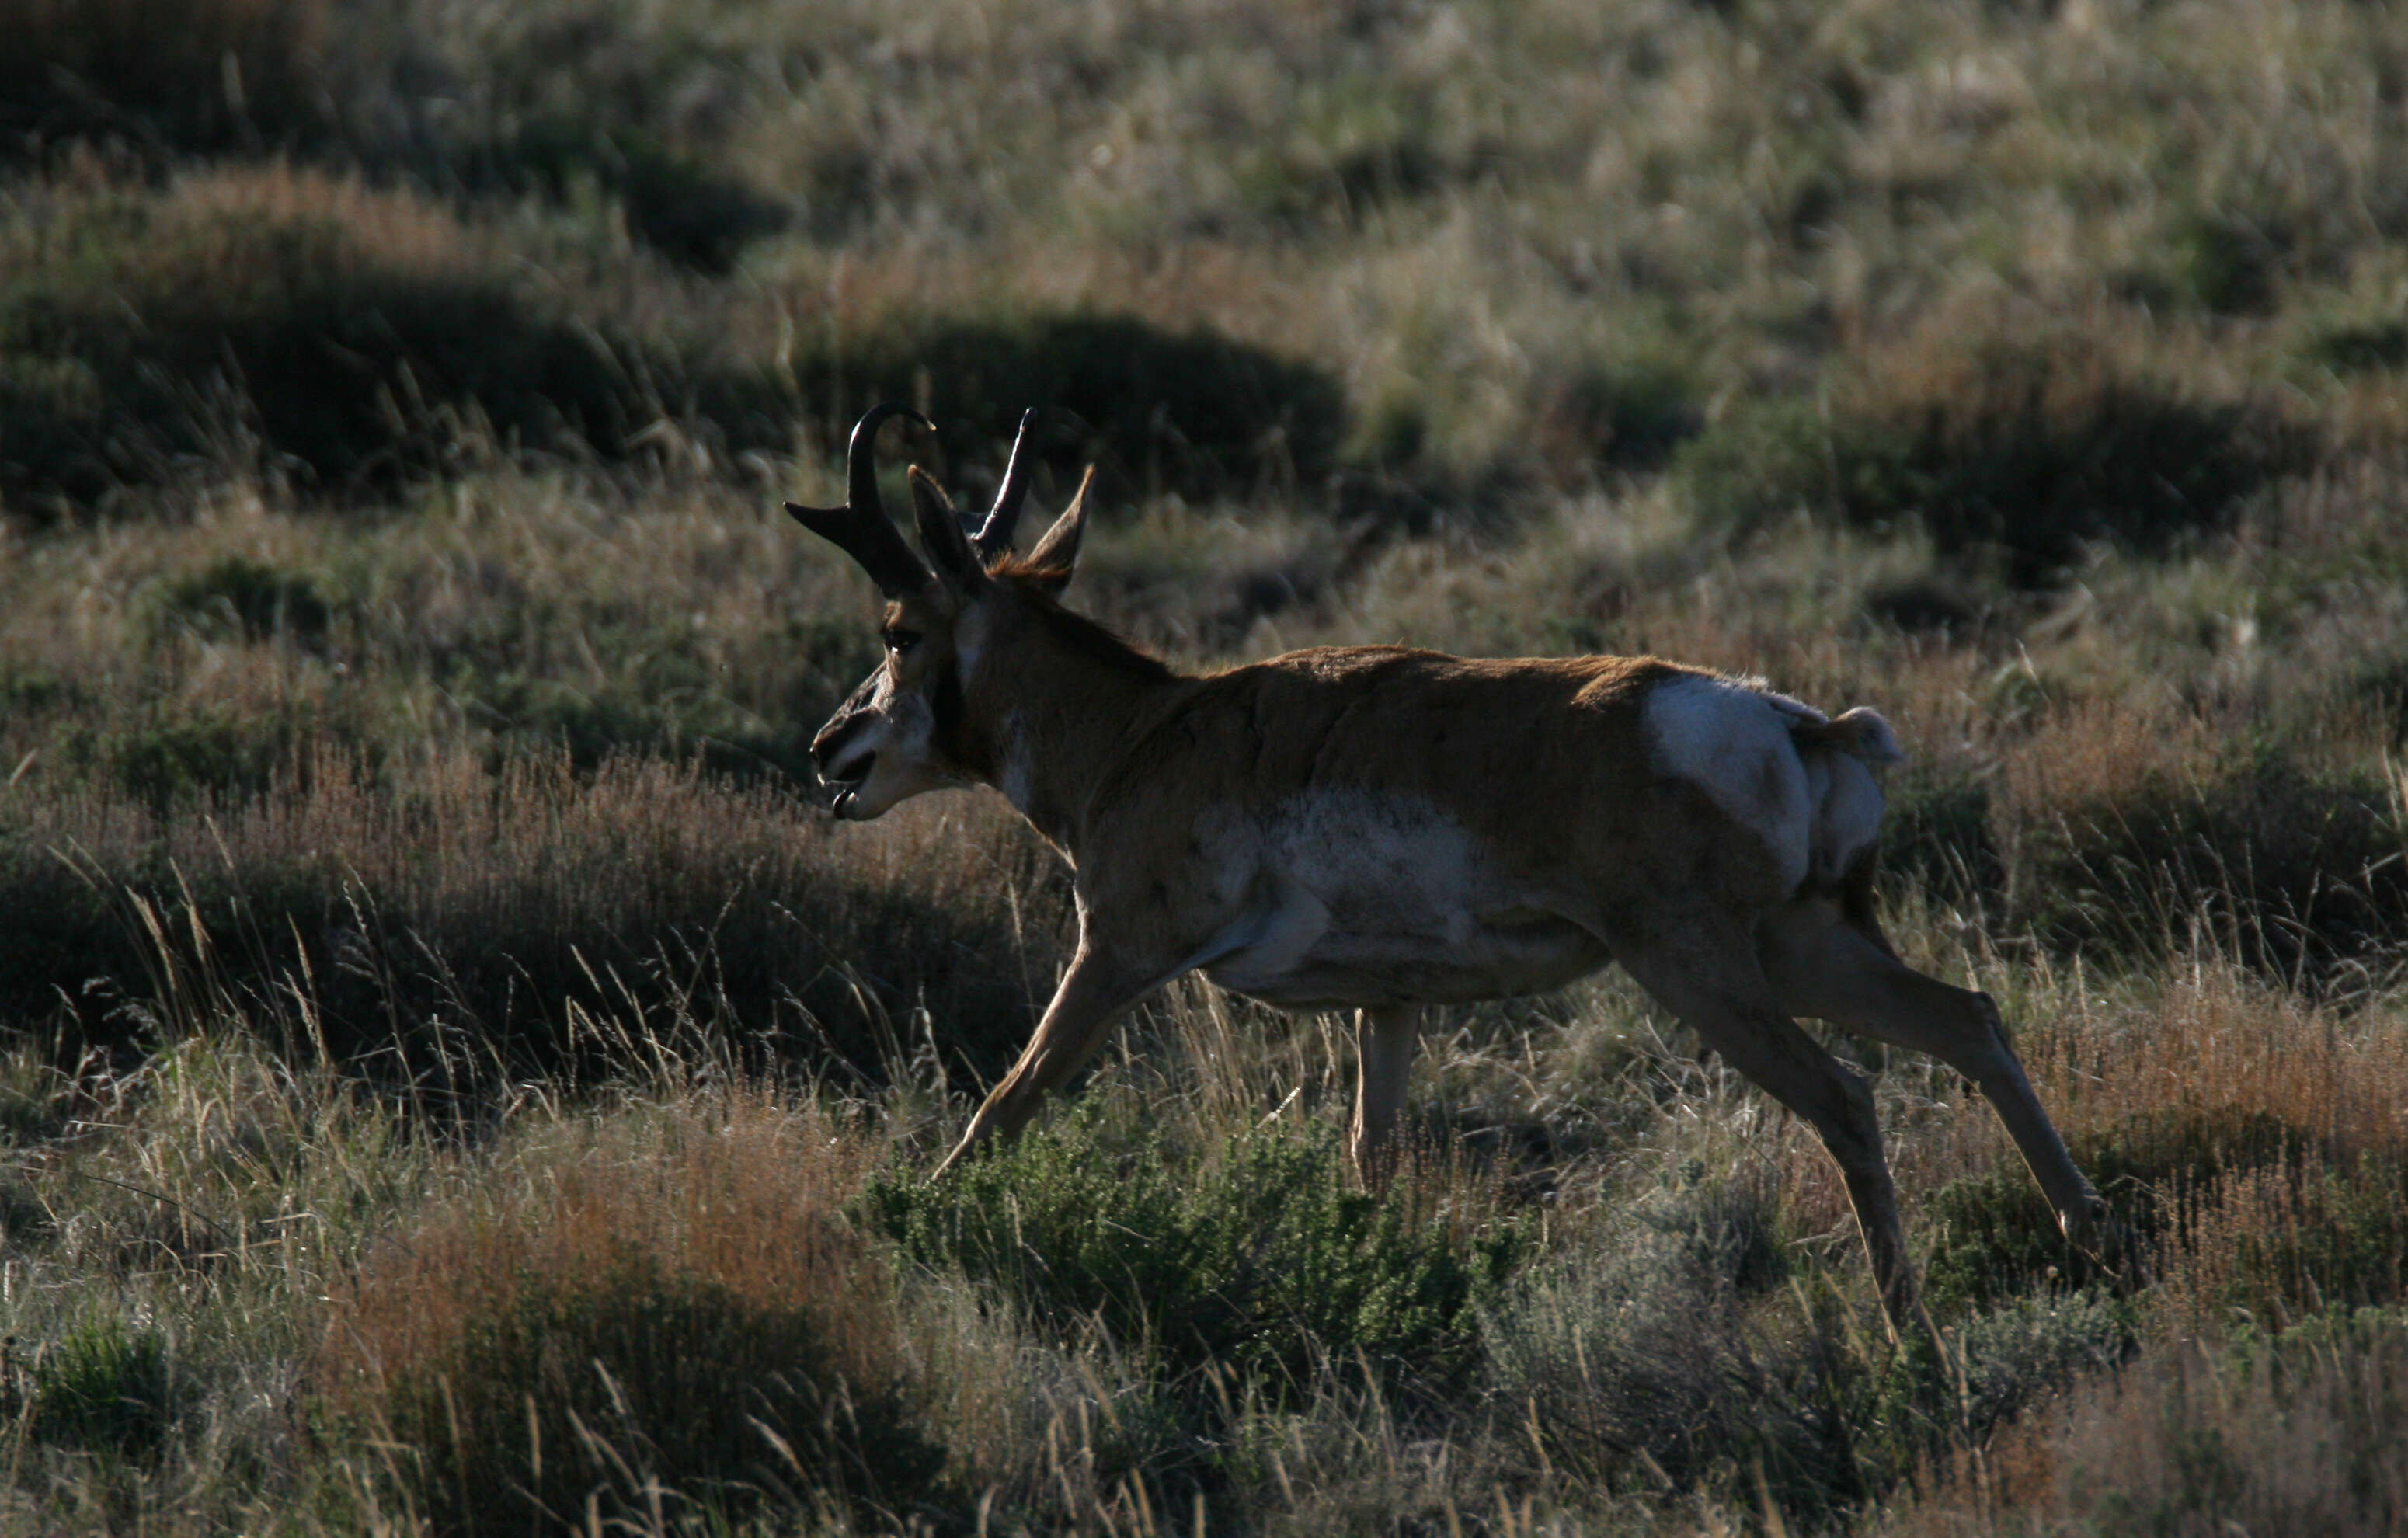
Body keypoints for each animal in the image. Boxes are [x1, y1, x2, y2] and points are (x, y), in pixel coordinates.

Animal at [789, 404, 2109, 1319]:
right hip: (1806, 948)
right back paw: (2085, 1235)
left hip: (1699, 968)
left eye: (899, 629)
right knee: (1968, 1019)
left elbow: (1005, 1105)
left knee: (1848, 1097)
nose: (827, 748)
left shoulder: (1113, 954)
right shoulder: (1387, 1008)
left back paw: (1905, 1328)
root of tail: (1796, 723)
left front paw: (910, 1226)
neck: (1146, 733)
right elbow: (1369, 1158)